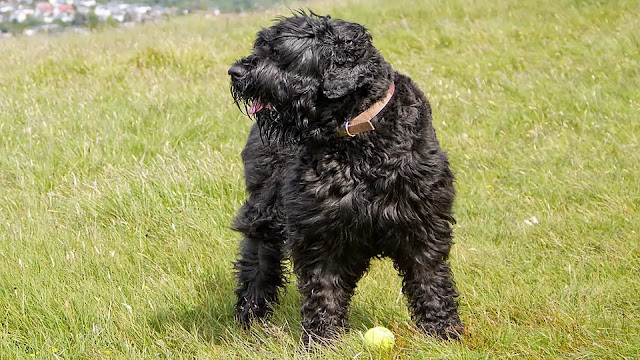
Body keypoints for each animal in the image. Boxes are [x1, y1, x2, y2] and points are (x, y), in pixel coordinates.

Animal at [228, 11, 462, 344]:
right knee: (257, 261)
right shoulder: (319, 230)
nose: (234, 71)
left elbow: (430, 278)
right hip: (265, 212)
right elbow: (324, 288)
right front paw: (322, 340)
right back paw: (250, 315)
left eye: (279, 52)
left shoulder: (422, 221)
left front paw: (443, 331)